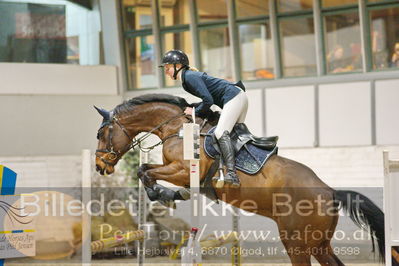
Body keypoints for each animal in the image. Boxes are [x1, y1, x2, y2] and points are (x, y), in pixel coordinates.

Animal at [95, 93, 386, 266]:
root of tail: (330, 192)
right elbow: (144, 169)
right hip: (319, 243)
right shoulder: (173, 168)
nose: (99, 166)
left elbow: (145, 172)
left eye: (101, 134)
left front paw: (165, 195)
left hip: (297, 242)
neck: (177, 128)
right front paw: (167, 195)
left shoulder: (182, 170)